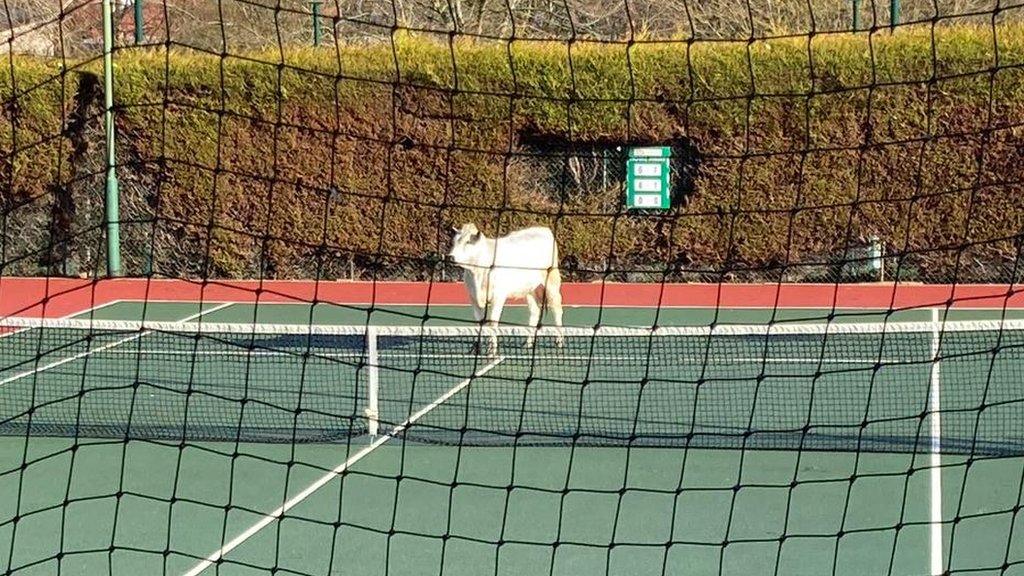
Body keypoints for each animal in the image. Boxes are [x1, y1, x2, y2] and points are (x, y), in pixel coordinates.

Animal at [450, 222, 569, 352]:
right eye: (454, 242)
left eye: (468, 242)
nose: (450, 257)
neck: (477, 273)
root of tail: (543, 229)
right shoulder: (473, 297)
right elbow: (478, 322)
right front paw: (476, 347)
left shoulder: (498, 297)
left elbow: (493, 322)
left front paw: (492, 349)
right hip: (530, 289)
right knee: (535, 312)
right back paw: (528, 343)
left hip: (552, 282)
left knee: (557, 310)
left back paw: (559, 341)